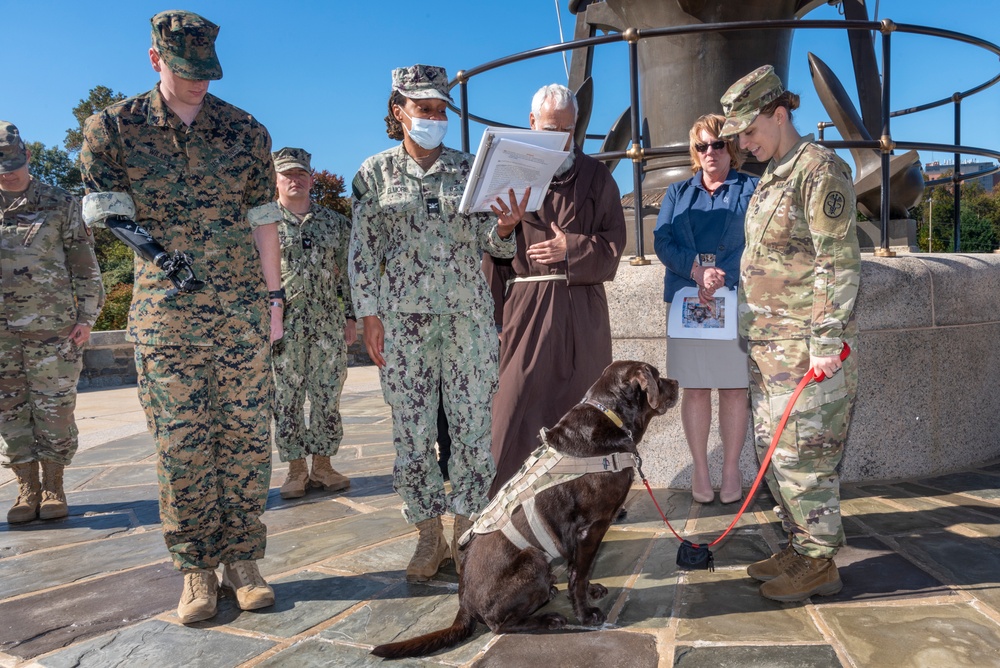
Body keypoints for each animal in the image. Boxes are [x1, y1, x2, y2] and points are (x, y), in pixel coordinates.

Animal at [372, 360, 684, 656]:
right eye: (657, 376)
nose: (678, 382)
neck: (611, 415)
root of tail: (464, 603)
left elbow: (578, 569)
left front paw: (590, 590)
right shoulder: (591, 529)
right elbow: (580, 574)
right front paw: (584, 614)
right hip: (533, 559)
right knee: (499, 625)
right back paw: (548, 619)